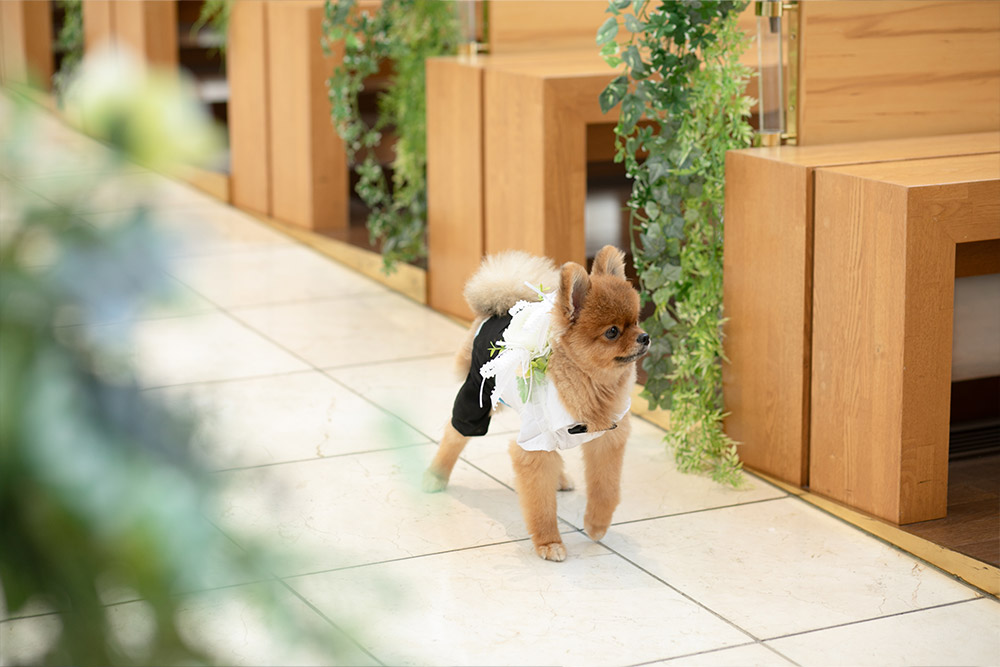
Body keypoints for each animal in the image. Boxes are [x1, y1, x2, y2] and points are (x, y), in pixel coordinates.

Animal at [422, 244, 648, 560]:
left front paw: (596, 524)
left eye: (636, 320)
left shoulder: (606, 439)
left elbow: (605, 489)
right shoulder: (533, 446)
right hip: (477, 399)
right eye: (612, 332)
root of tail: (499, 309)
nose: (645, 337)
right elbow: (540, 502)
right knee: (454, 434)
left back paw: (560, 478)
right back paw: (436, 475)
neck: (589, 383)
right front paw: (548, 542)